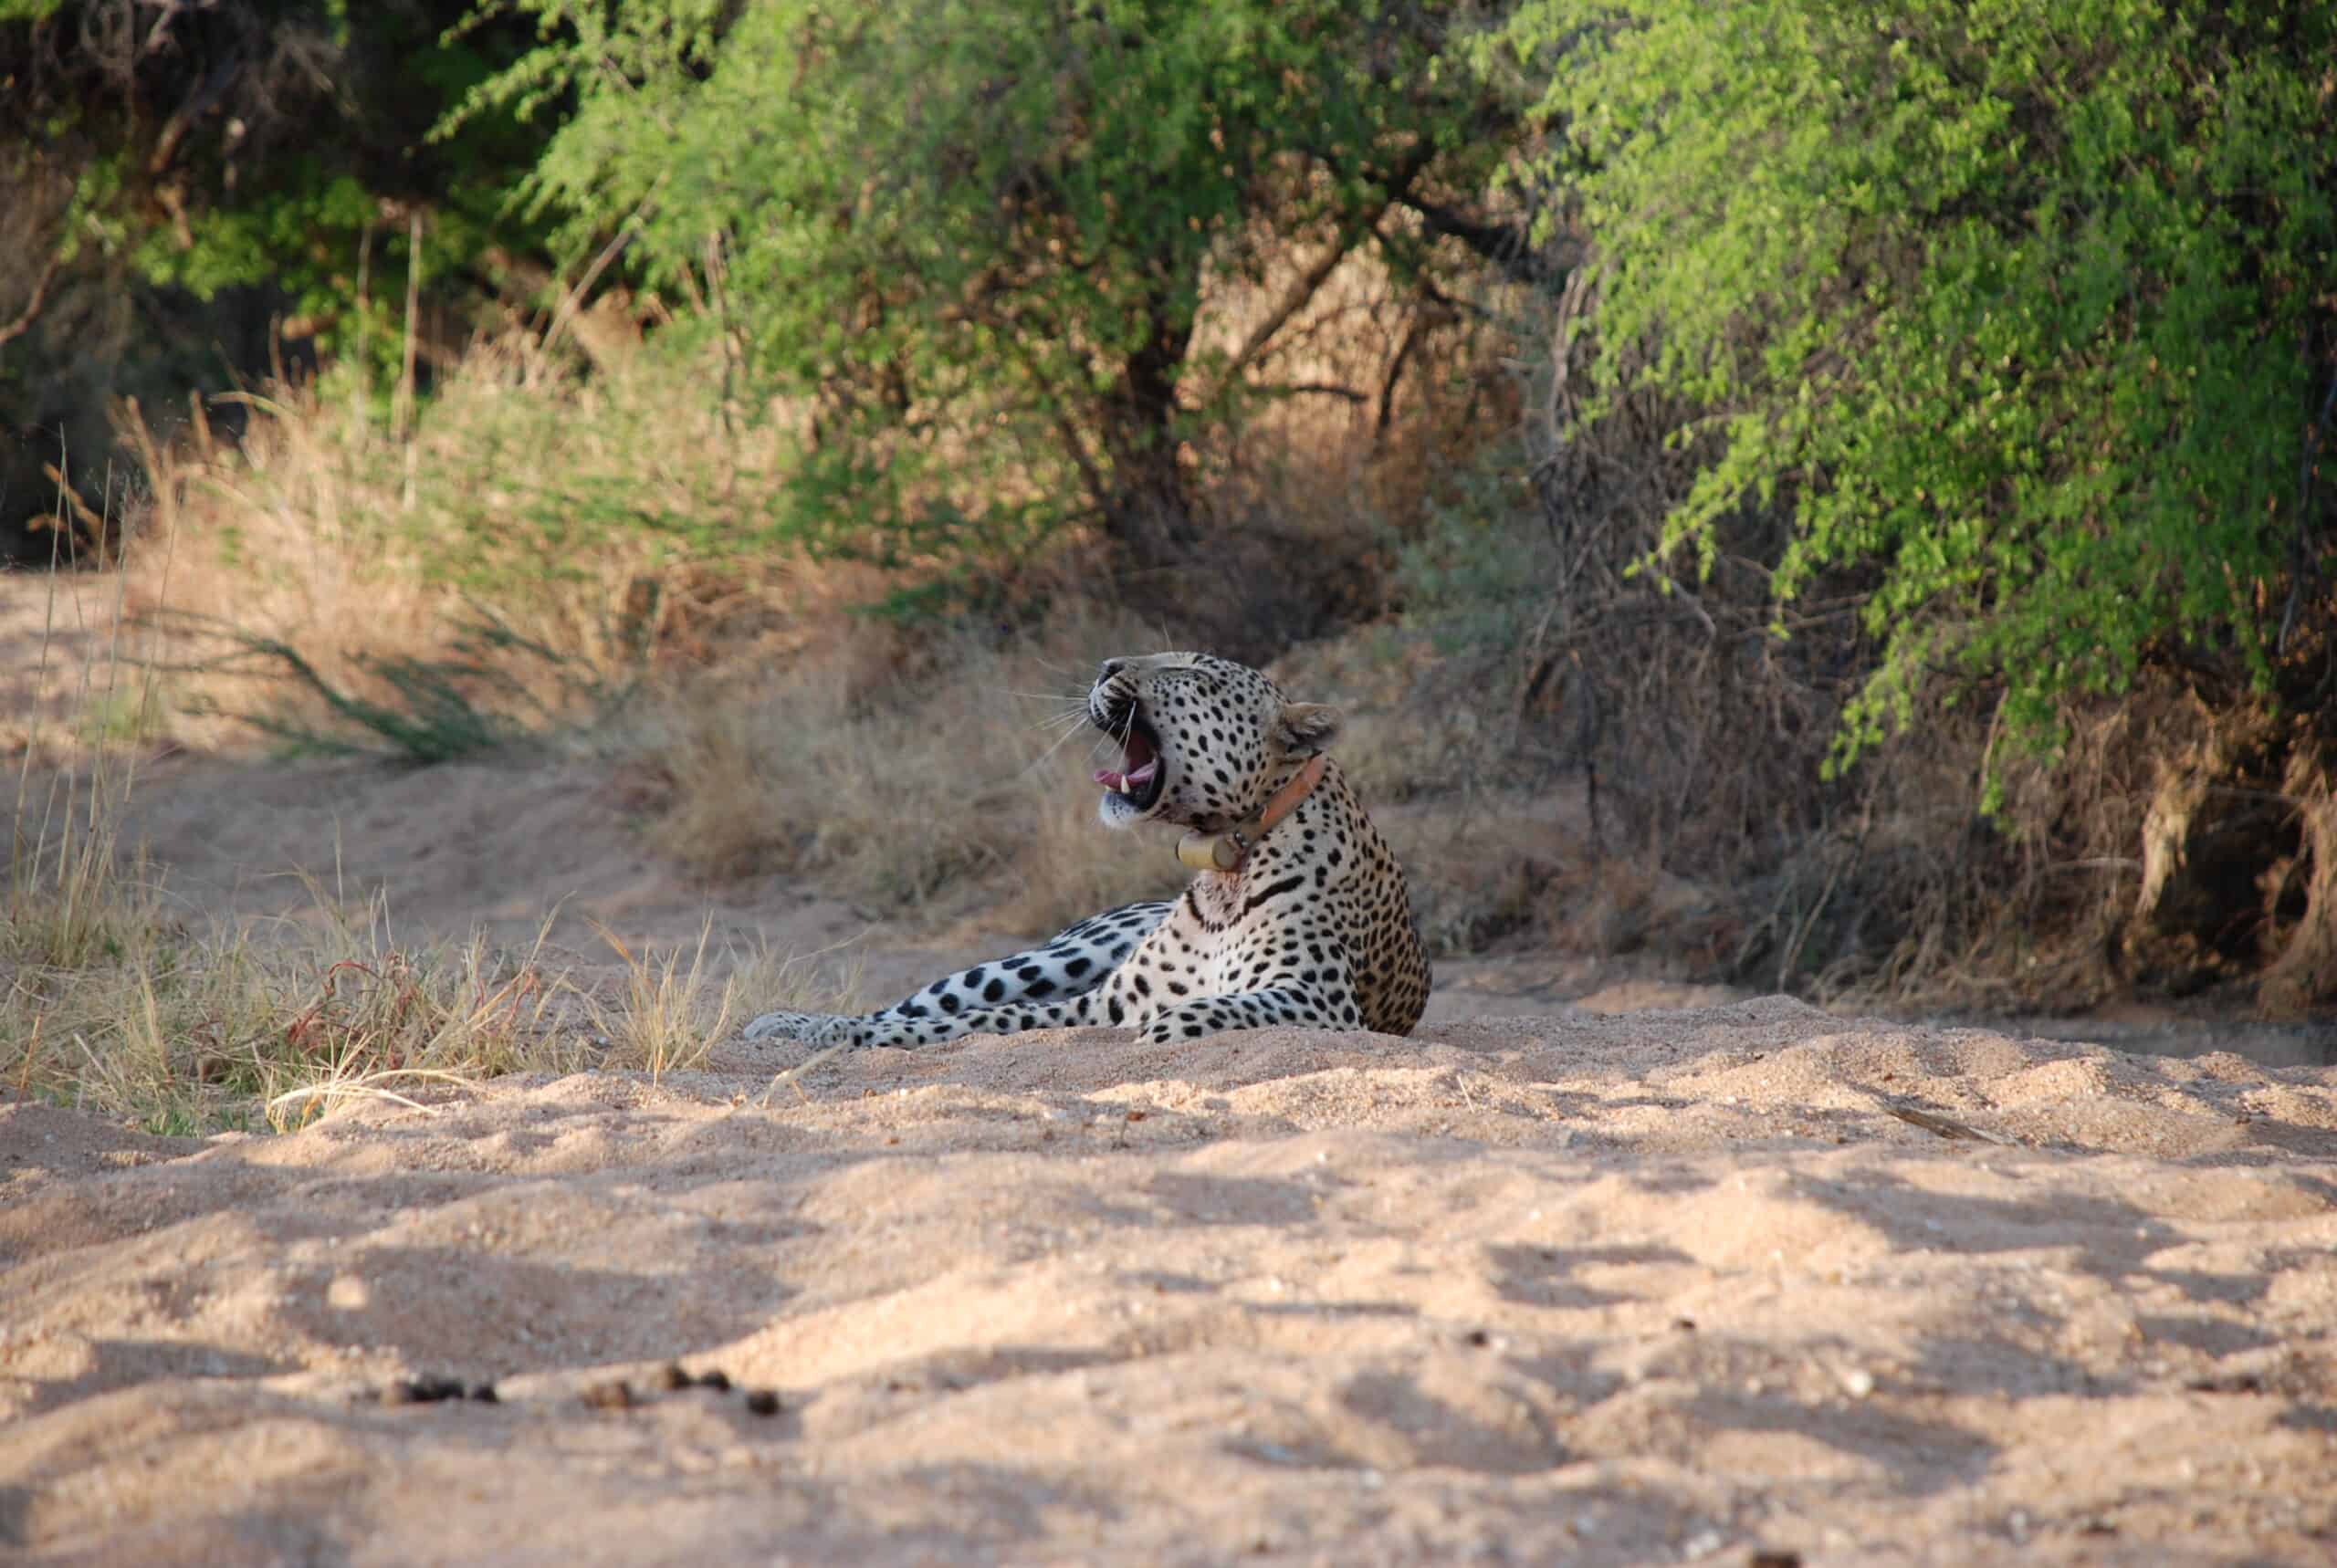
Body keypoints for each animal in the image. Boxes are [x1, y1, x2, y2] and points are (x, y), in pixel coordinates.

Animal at [740, 651, 1430, 1049]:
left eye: (1193, 673)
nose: (1104, 666)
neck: (1222, 869)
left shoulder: (1317, 996)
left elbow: (1214, 1008)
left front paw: (1166, 1029)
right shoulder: (1104, 1001)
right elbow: (965, 1022)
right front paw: (823, 1031)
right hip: (1043, 960)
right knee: (914, 1003)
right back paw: (783, 1023)